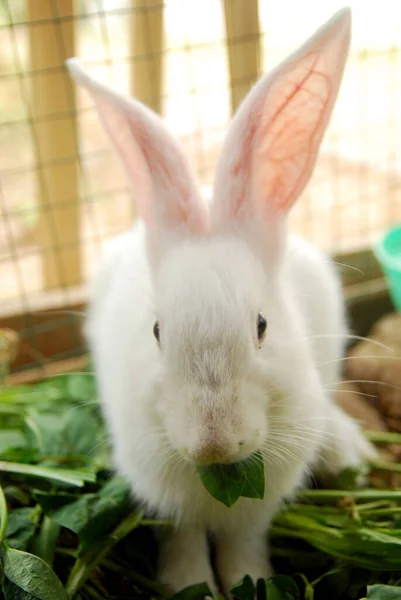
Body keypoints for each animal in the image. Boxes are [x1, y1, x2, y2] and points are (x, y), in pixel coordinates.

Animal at [66, 8, 376, 596]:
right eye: (157, 332)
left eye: (262, 326)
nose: (214, 443)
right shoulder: (167, 500)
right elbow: (184, 539)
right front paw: (190, 586)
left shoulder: (256, 506)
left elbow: (243, 540)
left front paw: (248, 579)